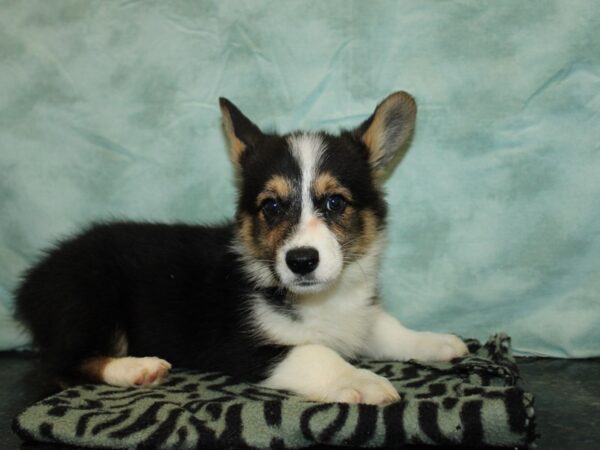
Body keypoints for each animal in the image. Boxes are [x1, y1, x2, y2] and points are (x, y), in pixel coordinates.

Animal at [12, 91, 464, 404]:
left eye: (335, 203)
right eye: (272, 206)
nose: (301, 261)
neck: (321, 300)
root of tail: (31, 282)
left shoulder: (360, 317)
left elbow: (388, 328)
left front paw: (437, 342)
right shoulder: (241, 346)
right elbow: (316, 353)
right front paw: (362, 381)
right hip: (91, 296)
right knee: (63, 364)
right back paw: (138, 368)